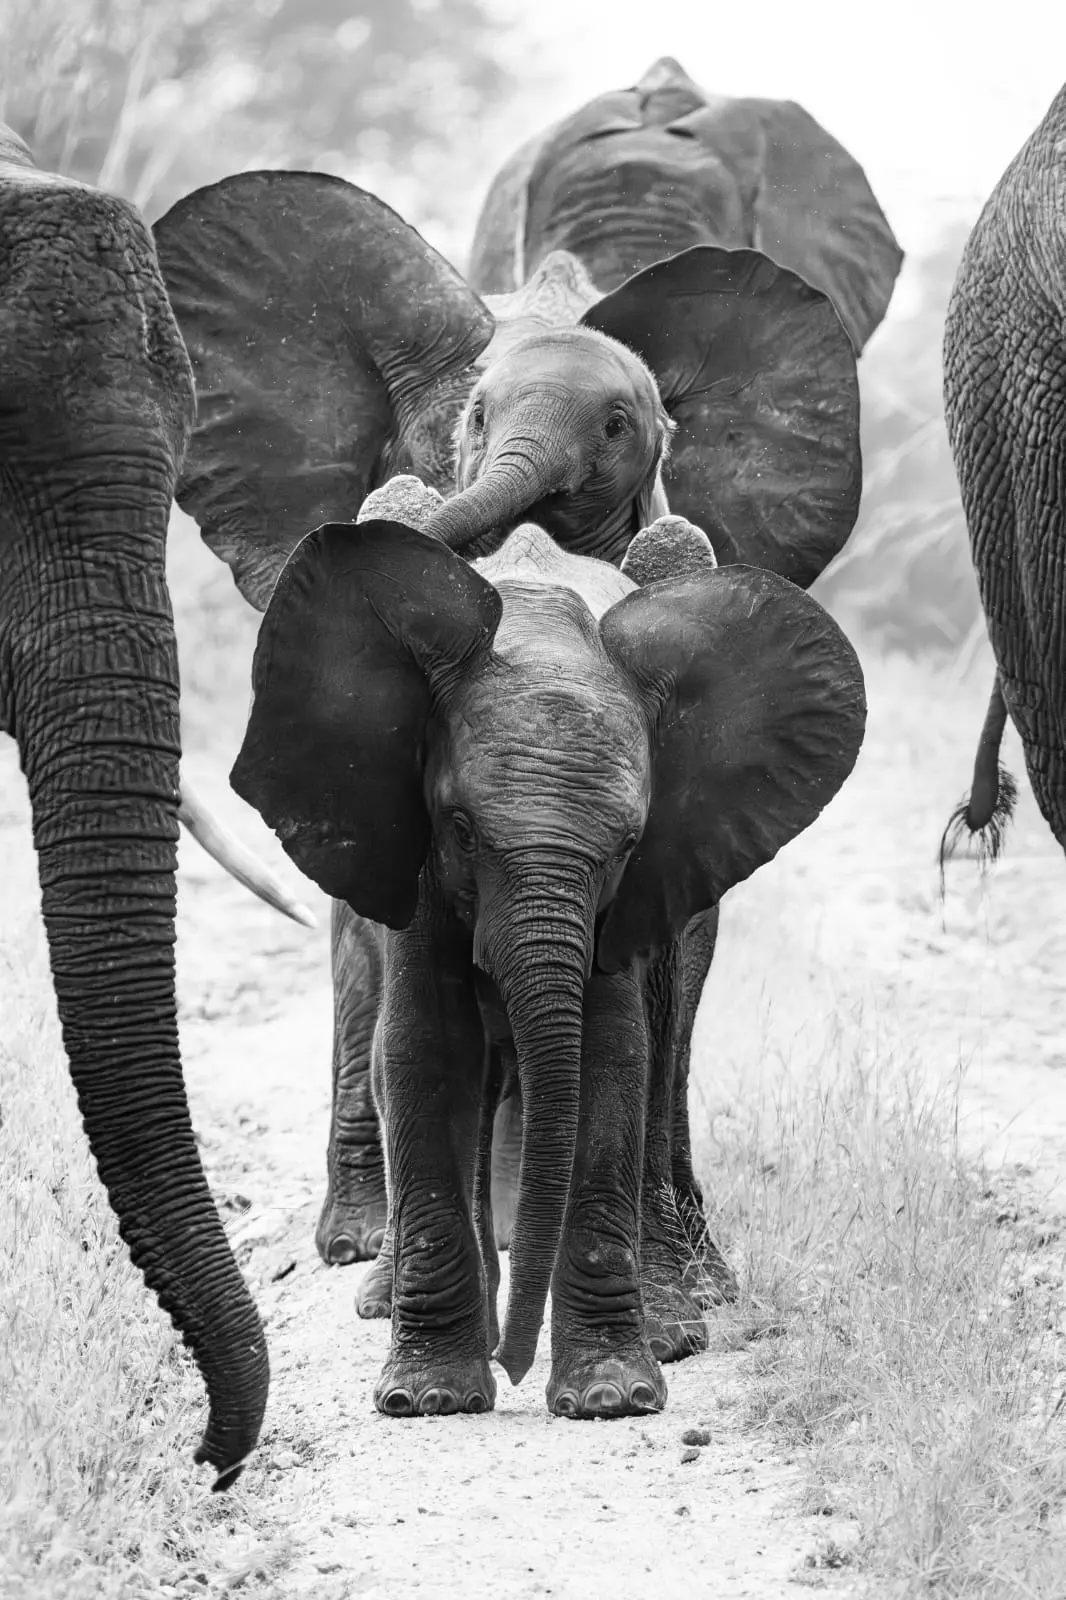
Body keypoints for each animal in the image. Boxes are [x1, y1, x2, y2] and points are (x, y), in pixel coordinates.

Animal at [230, 507, 867, 1419]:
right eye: (460, 828)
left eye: (629, 842)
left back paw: (672, 1326)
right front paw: (430, 1398)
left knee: (660, 1058)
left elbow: (612, 1057)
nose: (514, 1363)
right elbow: (423, 1050)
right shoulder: (413, 854)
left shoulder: (636, 891)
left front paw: (611, 1396)